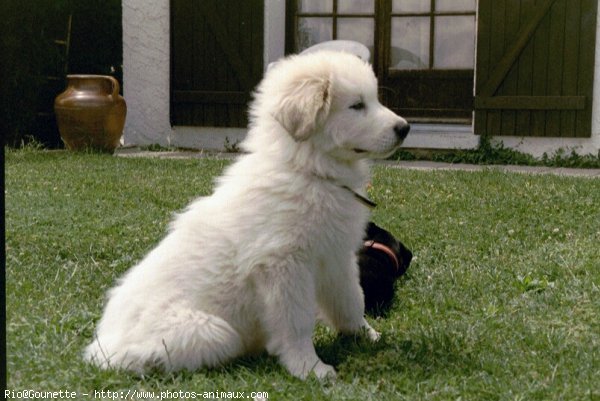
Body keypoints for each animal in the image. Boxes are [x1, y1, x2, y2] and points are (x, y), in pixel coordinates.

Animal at [84, 51, 410, 380]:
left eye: (374, 100)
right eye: (356, 105)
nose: (405, 128)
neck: (308, 169)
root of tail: (101, 348)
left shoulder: (336, 259)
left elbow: (351, 301)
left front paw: (369, 336)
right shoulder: (283, 266)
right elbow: (296, 322)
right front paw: (310, 367)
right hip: (213, 331)